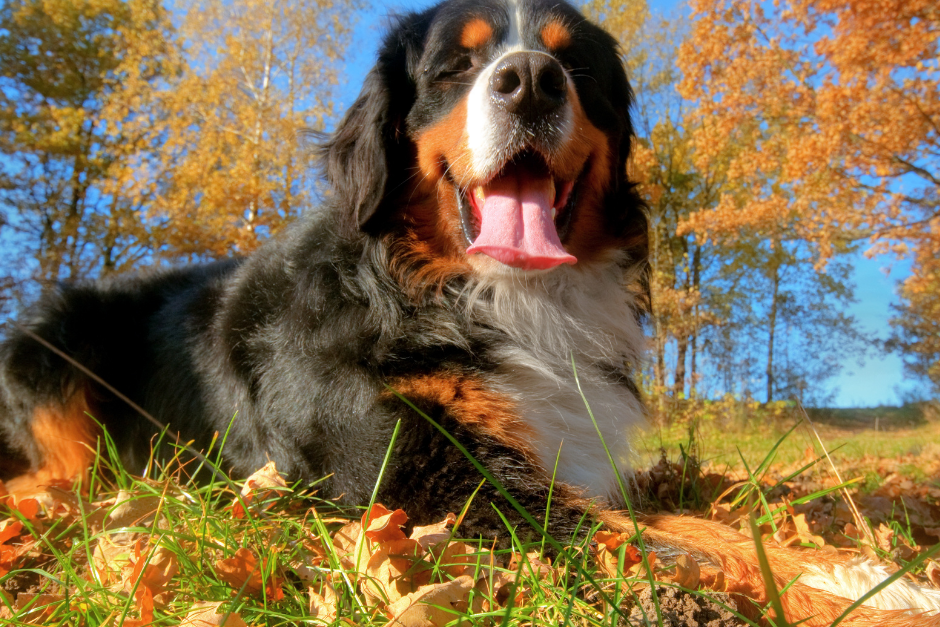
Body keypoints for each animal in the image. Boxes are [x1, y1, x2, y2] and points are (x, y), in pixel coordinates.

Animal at [1, 0, 940, 624]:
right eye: (457, 67)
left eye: (577, 66)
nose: (529, 82)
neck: (496, 296)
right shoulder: (425, 480)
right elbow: (683, 533)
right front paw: (868, 590)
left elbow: (699, 510)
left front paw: (856, 563)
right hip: (45, 352)